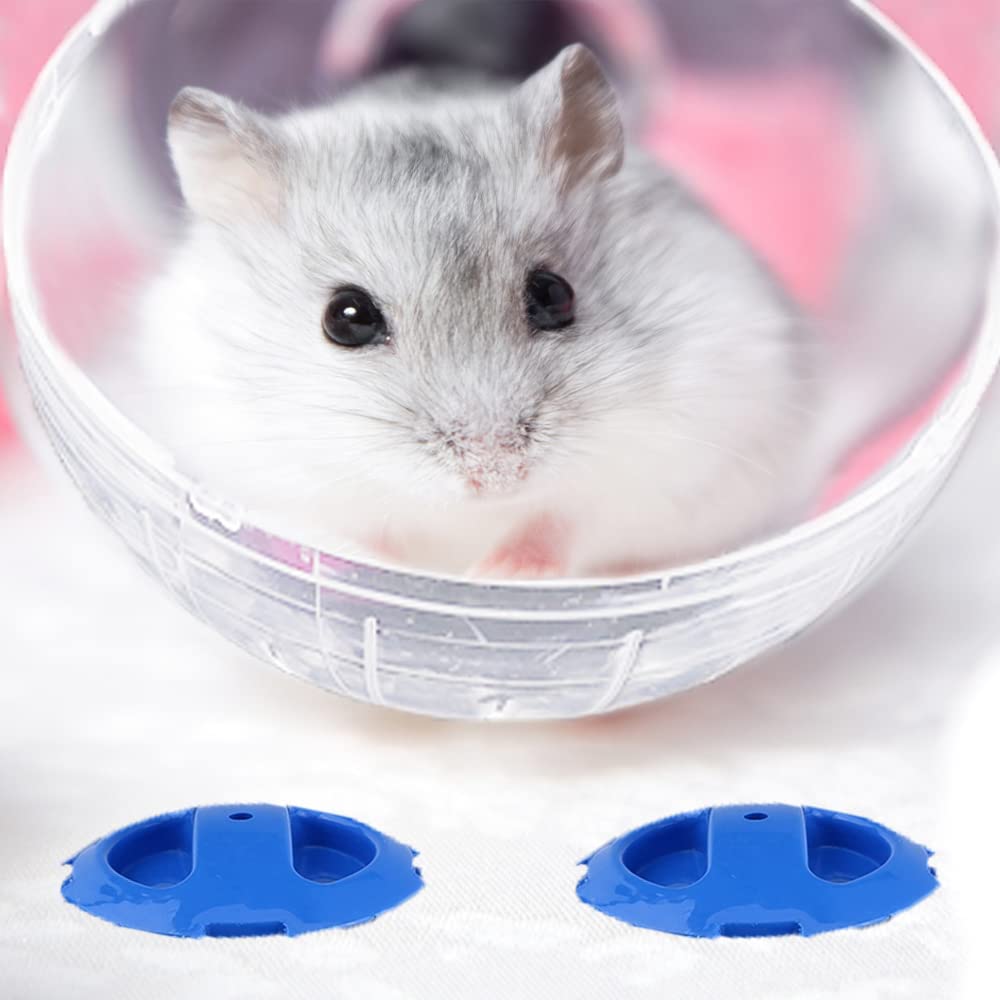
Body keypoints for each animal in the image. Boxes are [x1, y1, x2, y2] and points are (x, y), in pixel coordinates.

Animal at [130, 44, 816, 578]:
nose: (497, 474)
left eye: (554, 294)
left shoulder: (675, 457)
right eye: (346, 318)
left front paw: (492, 576)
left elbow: (563, 521)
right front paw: (398, 580)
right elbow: (355, 534)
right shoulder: (270, 476)